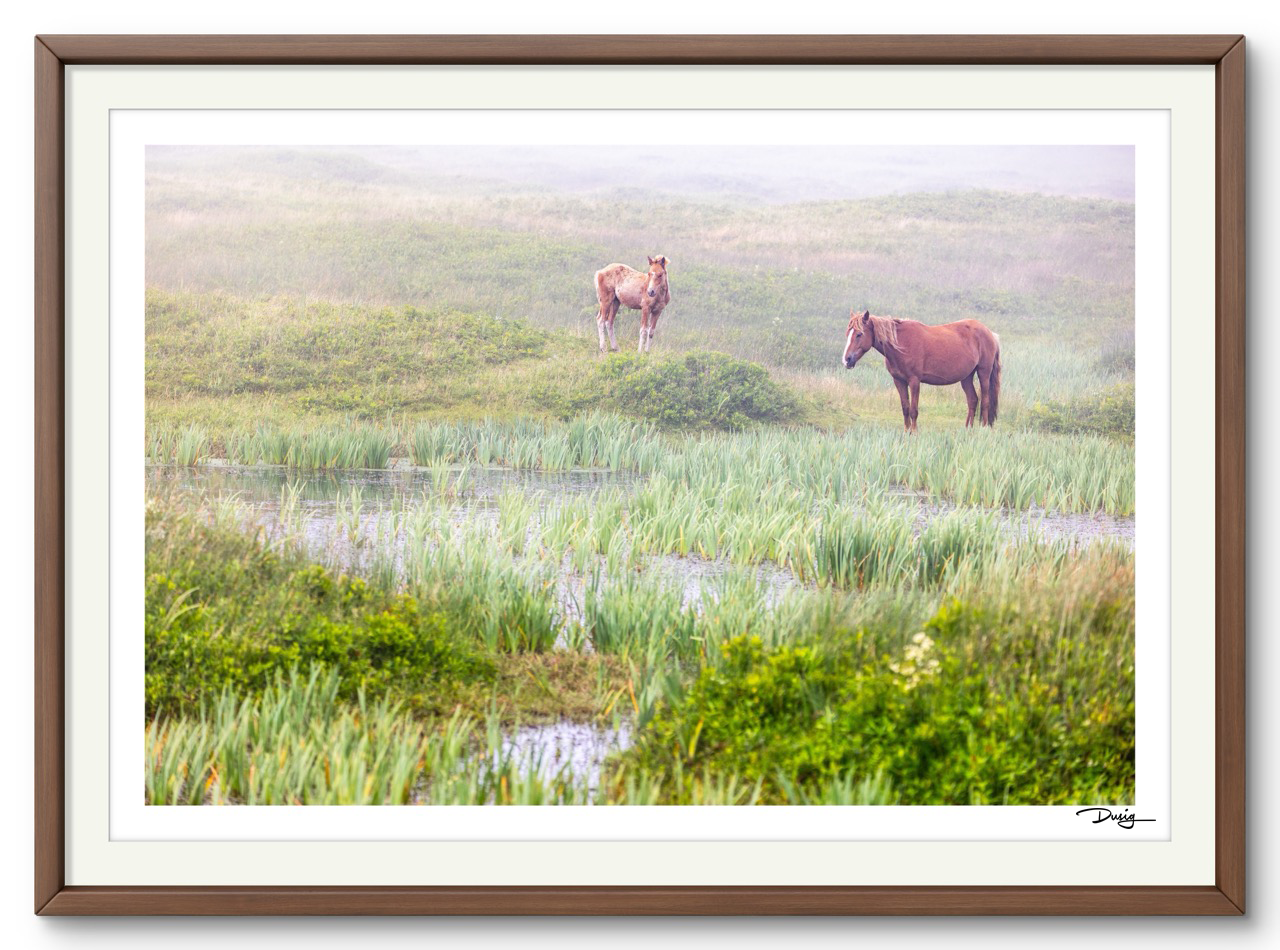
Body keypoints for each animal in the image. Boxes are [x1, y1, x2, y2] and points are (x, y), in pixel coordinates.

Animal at [844, 311, 1003, 432]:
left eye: (859, 334)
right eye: (848, 333)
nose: (846, 359)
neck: (902, 344)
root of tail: (990, 334)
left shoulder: (914, 381)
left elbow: (914, 410)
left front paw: (914, 433)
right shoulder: (899, 381)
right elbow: (905, 408)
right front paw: (906, 432)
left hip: (983, 373)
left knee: (985, 401)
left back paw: (983, 429)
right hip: (966, 377)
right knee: (973, 400)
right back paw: (967, 430)